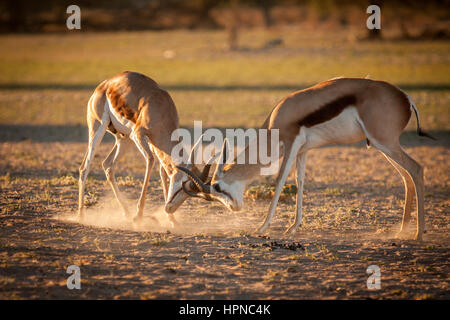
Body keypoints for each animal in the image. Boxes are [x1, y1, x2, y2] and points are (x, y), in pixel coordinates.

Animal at [77, 70, 211, 225]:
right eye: (183, 185)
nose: (169, 208)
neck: (160, 107)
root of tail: (104, 85)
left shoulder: (154, 144)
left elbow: (163, 171)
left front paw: (172, 220)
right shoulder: (139, 135)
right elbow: (150, 160)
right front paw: (139, 216)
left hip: (124, 139)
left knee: (108, 164)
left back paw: (126, 213)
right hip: (99, 129)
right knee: (84, 167)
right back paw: (81, 215)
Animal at [178, 76, 436, 239]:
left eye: (218, 188)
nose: (235, 209)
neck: (281, 116)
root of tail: (405, 98)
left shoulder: (291, 142)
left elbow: (280, 180)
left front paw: (262, 227)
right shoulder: (303, 150)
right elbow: (300, 181)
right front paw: (293, 227)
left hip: (385, 143)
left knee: (417, 169)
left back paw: (418, 234)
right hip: (380, 145)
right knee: (406, 176)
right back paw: (401, 231)